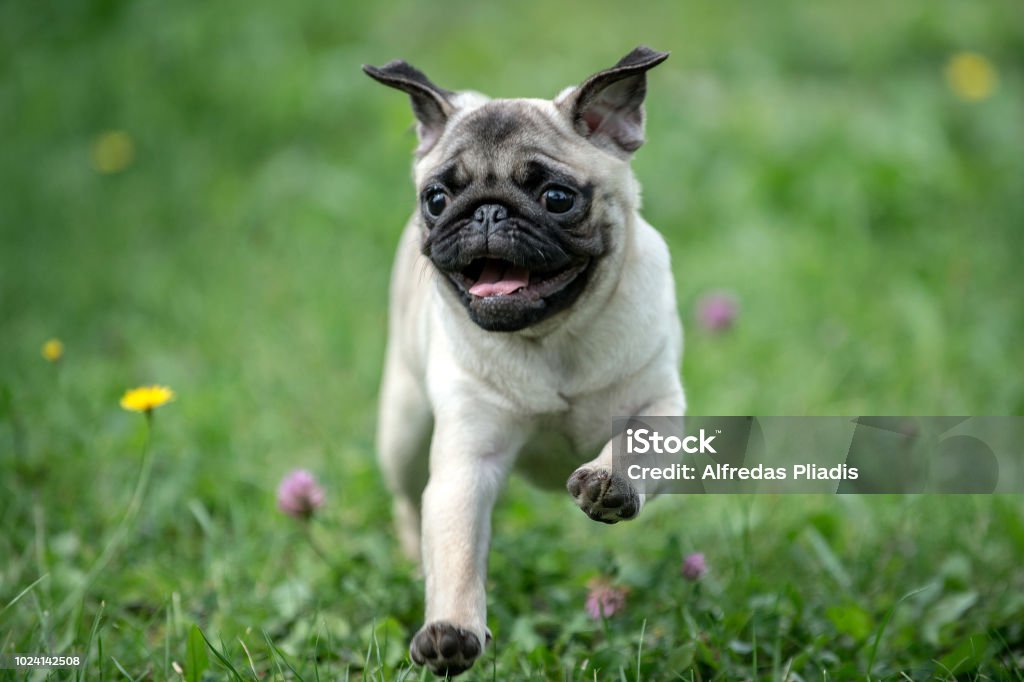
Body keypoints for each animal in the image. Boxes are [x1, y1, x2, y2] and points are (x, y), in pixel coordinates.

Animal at [364, 46, 684, 675]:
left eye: (556, 198)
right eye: (437, 199)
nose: (487, 213)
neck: (554, 339)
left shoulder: (661, 405)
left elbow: (634, 446)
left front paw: (609, 481)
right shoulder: (466, 464)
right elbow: (457, 550)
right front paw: (451, 630)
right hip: (404, 431)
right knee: (410, 504)